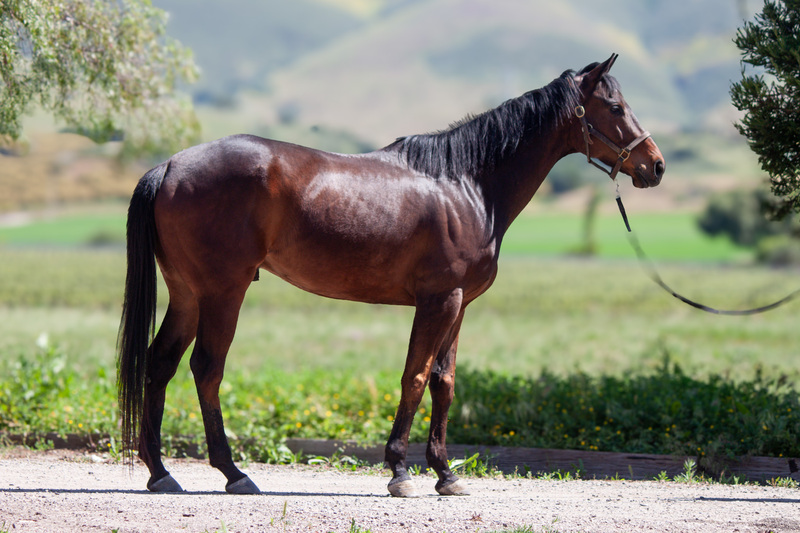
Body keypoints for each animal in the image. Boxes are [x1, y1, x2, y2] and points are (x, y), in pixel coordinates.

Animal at [119, 54, 664, 494]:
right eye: (615, 108)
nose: (655, 165)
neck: (467, 183)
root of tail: (169, 167)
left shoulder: (459, 304)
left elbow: (444, 382)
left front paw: (445, 474)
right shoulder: (439, 300)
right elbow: (415, 377)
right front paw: (400, 471)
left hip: (187, 294)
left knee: (160, 364)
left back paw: (161, 473)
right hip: (222, 293)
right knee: (206, 369)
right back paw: (233, 473)